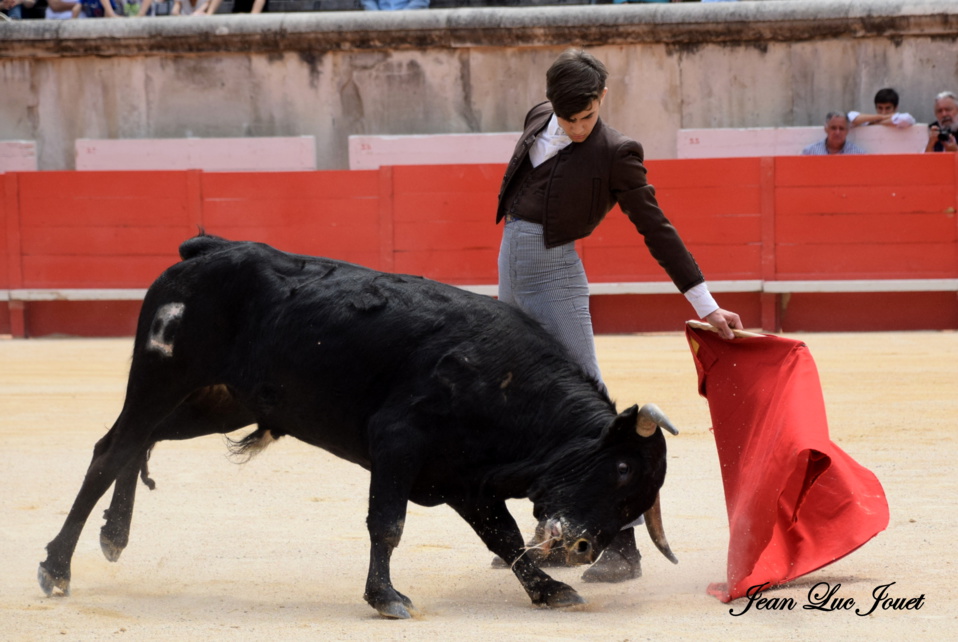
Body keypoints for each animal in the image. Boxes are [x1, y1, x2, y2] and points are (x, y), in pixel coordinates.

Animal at [39, 235, 684, 616]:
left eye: (634, 502)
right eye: (621, 468)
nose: (581, 546)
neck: (508, 385)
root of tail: (205, 250)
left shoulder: (465, 481)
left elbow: (502, 537)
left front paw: (550, 589)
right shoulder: (397, 441)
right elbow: (388, 524)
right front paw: (386, 598)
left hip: (219, 402)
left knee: (138, 445)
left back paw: (113, 536)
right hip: (162, 376)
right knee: (110, 450)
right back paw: (56, 567)